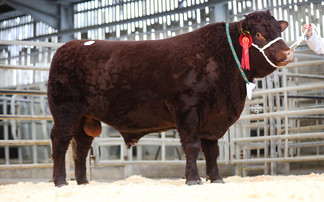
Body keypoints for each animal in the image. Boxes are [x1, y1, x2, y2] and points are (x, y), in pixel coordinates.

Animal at [48, 9, 294, 186]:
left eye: (279, 32)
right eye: (259, 34)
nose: (288, 53)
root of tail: (68, 46)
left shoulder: (214, 116)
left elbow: (212, 151)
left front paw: (216, 179)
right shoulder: (187, 108)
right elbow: (193, 146)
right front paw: (193, 179)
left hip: (85, 118)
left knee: (81, 146)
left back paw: (83, 182)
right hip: (65, 111)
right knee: (60, 142)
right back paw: (61, 182)